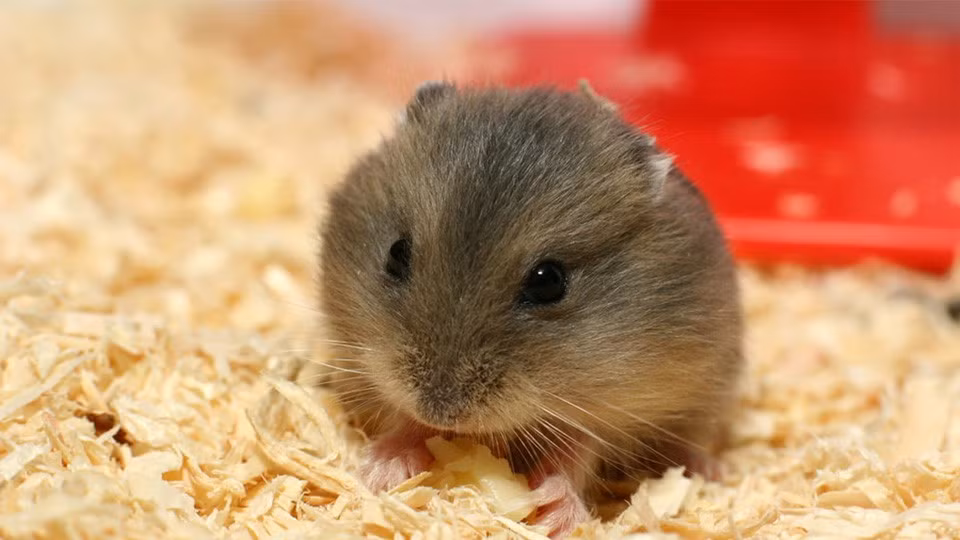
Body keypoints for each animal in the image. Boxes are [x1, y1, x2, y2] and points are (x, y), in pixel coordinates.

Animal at [317, 81, 743, 537]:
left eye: (548, 281)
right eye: (396, 253)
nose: (441, 411)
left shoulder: (616, 405)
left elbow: (578, 450)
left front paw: (556, 516)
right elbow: (404, 420)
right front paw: (381, 472)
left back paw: (709, 470)